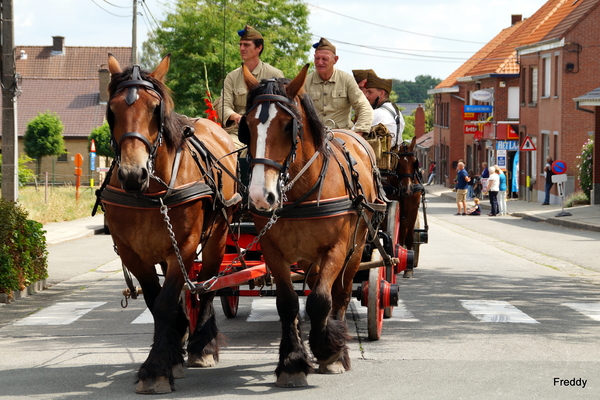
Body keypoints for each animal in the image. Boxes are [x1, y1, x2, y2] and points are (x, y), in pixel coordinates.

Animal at [98, 54, 239, 394]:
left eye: (154, 108)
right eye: (112, 110)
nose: (132, 174)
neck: (150, 190)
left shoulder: (183, 247)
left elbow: (165, 303)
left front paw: (155, 370)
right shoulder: (133, 252)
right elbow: (155, 301)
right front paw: (169, 356)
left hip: (217, 236)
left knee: (209, 285)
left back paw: (202, 346)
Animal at [238, 65, 384, 388]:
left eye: (286, 126)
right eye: (247, 127)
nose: (260, 196)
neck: (302, 190)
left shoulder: (336, 248)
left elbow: (320, 300)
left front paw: (330, 353)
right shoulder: (273, 251)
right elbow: (288, 304)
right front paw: (292, 362)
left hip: (357, 248)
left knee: (341, 294)